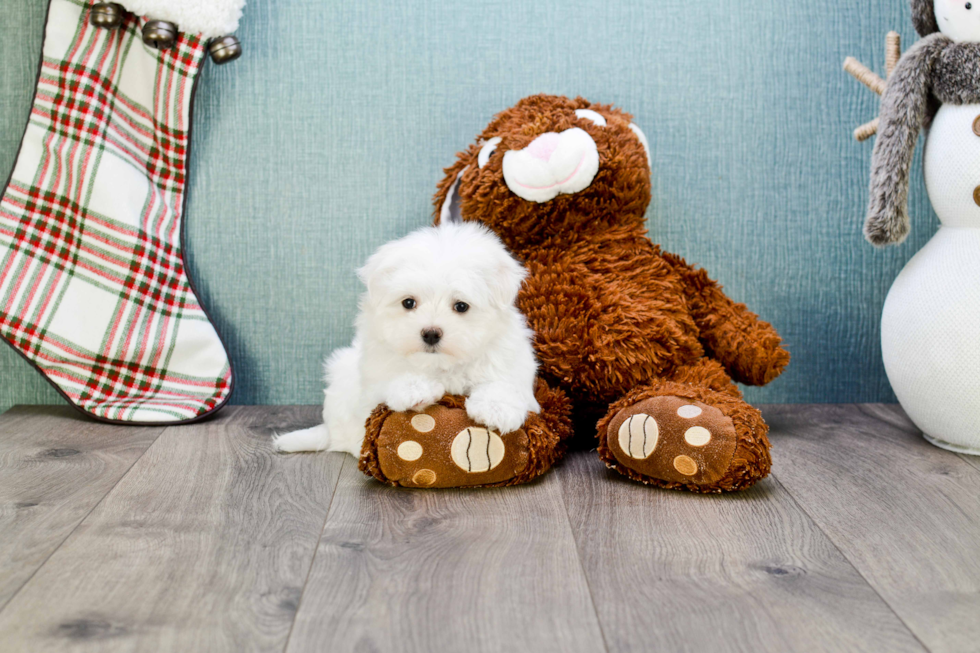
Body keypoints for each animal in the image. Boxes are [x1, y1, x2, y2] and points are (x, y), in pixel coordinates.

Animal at [272, 222, 540, 456]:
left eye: (461, 306)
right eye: (408, 303)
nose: (430, 333)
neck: (442, 365)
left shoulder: (508, 358)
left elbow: (503, 383)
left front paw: (495, 409)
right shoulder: (375, 366)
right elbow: (392, 377)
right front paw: (415, 390)